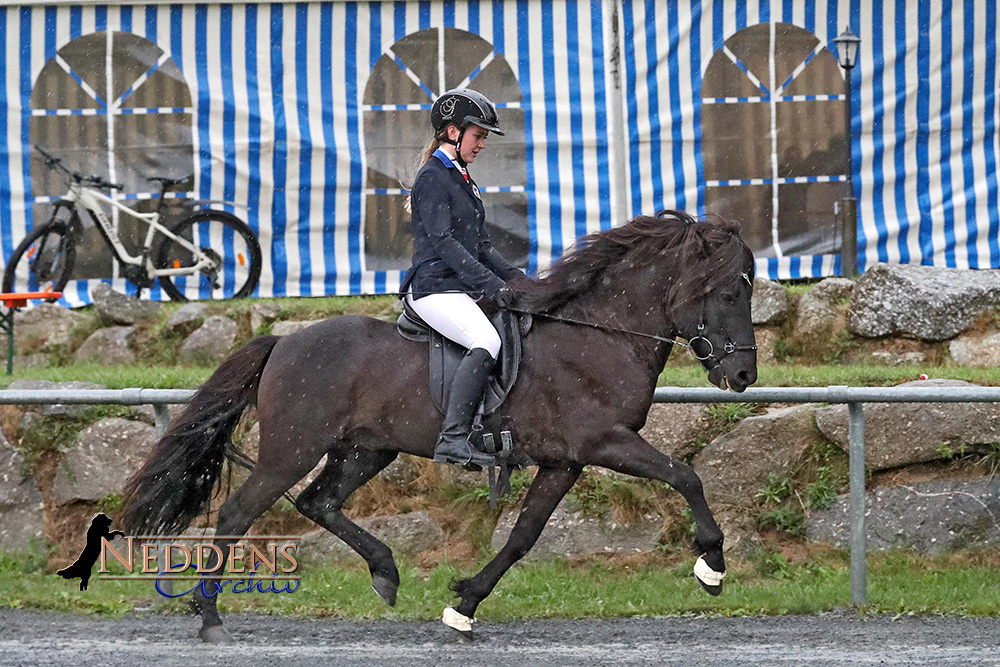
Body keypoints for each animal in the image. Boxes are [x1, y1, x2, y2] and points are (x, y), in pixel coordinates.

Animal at [119, 211, 756, 644]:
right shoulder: (604, 442)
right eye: (728, 292)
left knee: (318, 502)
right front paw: (712, 566)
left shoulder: (564, 461)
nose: (744, 375)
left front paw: (465, 604)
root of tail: (284, 342)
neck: (598, 334)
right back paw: (209, 618)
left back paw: (385, 572)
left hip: (366, 450)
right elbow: (686, 476)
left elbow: (523, 536)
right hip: (291, 449)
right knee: (237, 514)